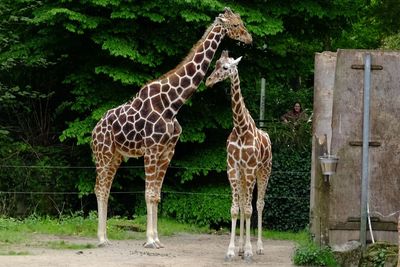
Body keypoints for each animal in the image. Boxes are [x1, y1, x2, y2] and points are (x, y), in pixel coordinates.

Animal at [92, 7, 252, 249]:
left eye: (241, 21)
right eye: (234, 25)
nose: (249, 38)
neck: (172, 104)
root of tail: (94, 131)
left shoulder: (168, 151)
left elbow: (157, 195)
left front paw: (157, 239)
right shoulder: (151, 149)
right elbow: (148, 193)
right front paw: (149, 240)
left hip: (116, 156)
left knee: (106, 188)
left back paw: (106, 237)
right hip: (103, 154)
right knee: (100, 188)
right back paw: (101, 239)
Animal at [206, 50, 272, 262]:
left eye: (226, 67)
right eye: (216, 64)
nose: (209, 81)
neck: (241, 129)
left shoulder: (250, 169)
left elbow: (250, 209)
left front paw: (250, 251)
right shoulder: (233, 169)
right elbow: (236, 209)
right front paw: (232, 250)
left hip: (263, 171)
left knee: (259, 204)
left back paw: (258, 248)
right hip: (243, 176)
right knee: (244, 204)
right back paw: (242, 248)